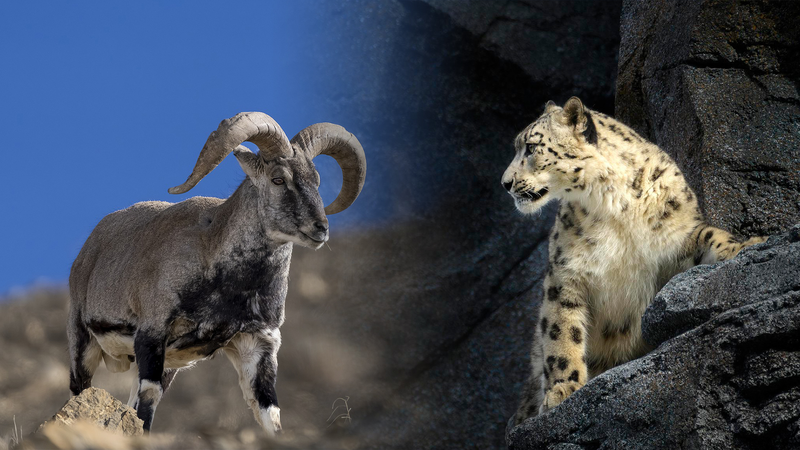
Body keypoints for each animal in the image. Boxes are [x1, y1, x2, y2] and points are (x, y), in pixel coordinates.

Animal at [67, 112, 366, 435]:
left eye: (317, 181)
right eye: (278, 178)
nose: (320, 228)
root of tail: (88, 249)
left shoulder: (257, 344)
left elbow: (270, 413)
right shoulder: (152, 333)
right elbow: (146, 403)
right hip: (82, 343)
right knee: (81, 390)